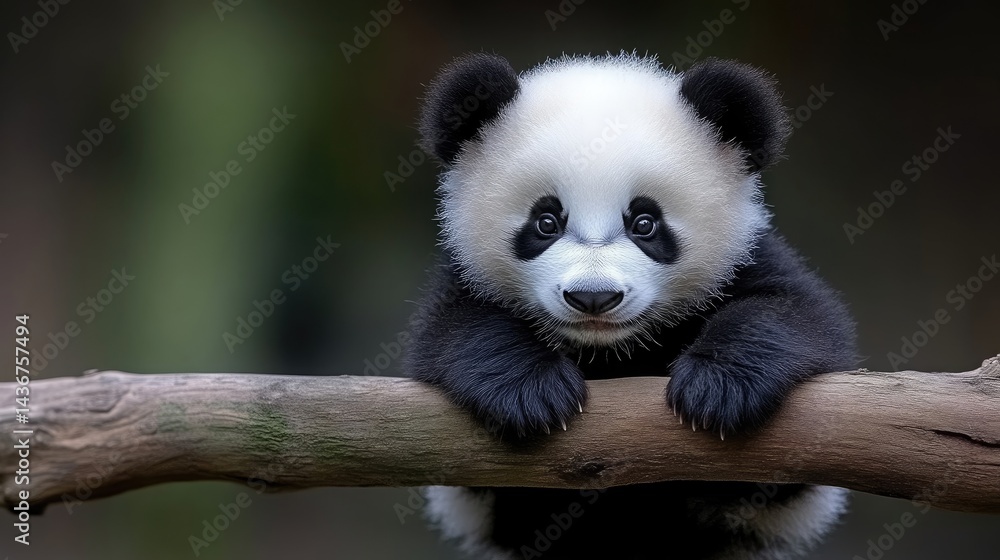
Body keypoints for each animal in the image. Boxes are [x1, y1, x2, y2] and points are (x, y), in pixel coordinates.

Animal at [403, 52, 857, 560]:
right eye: (546, 222)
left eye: (644, 222)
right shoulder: (460, 280)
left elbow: (795, 314)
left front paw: (716, 390)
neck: (608, 350)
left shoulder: (750, 259)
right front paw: (532, 394)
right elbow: (454, 329)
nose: (593, 297)